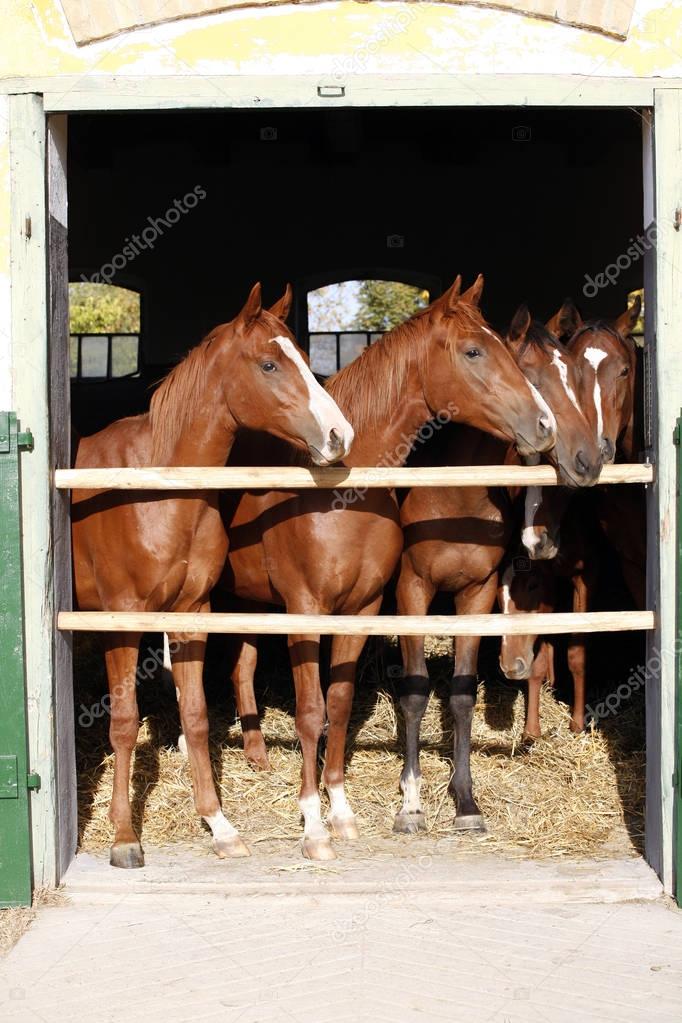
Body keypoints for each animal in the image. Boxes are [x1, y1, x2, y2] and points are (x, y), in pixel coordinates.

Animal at [72, 284, 355, 867]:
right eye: (269, 364)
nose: (339, 435)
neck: (158, 488)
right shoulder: (122, 619)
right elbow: (124, 723)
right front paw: (124, 837)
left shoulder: (191, 613)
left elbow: (198, 716)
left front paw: (219, 825)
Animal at [221, 276, 556, 859]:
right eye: (474, 351)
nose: (543, 425)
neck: (337, 494)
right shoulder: (312, 610)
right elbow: (311, 712)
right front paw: (314, 826)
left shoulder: (365, 608)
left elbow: (340, 703)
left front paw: (345, 812)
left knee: (242, 667)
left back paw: (257, 755)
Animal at [392, 302, 601, 830]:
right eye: (535, 376)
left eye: (574, 376)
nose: (589, 459)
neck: (454, 496)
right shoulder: (412, 589)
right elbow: (415, 692)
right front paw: (411, 802)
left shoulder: (478, 593)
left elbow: (463, 693)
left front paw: (465, 801)